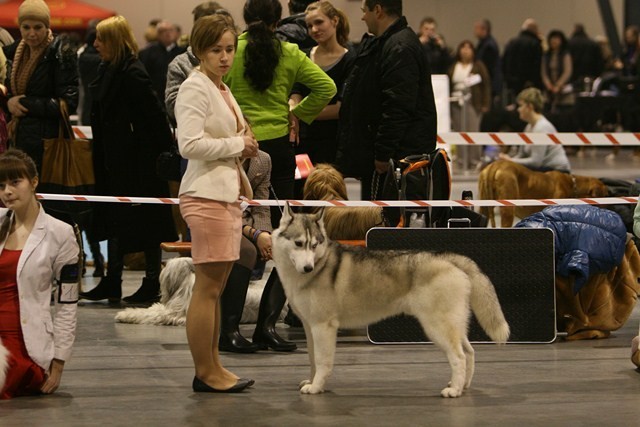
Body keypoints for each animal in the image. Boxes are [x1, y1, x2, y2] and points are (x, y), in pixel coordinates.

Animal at [270, 204, 510, 398]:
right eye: (298, 243)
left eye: (314, 245)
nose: (308, 267)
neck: (319, 266)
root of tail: (448, 257)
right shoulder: (310, 326)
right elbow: (312, 359)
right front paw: (311, 380)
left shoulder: (324, 326)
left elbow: (322, 361)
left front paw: (316, 387)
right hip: (454, 324)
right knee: (469, 352)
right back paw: (462, 385)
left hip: (438, 327)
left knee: (459, 357)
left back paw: (454, 391)